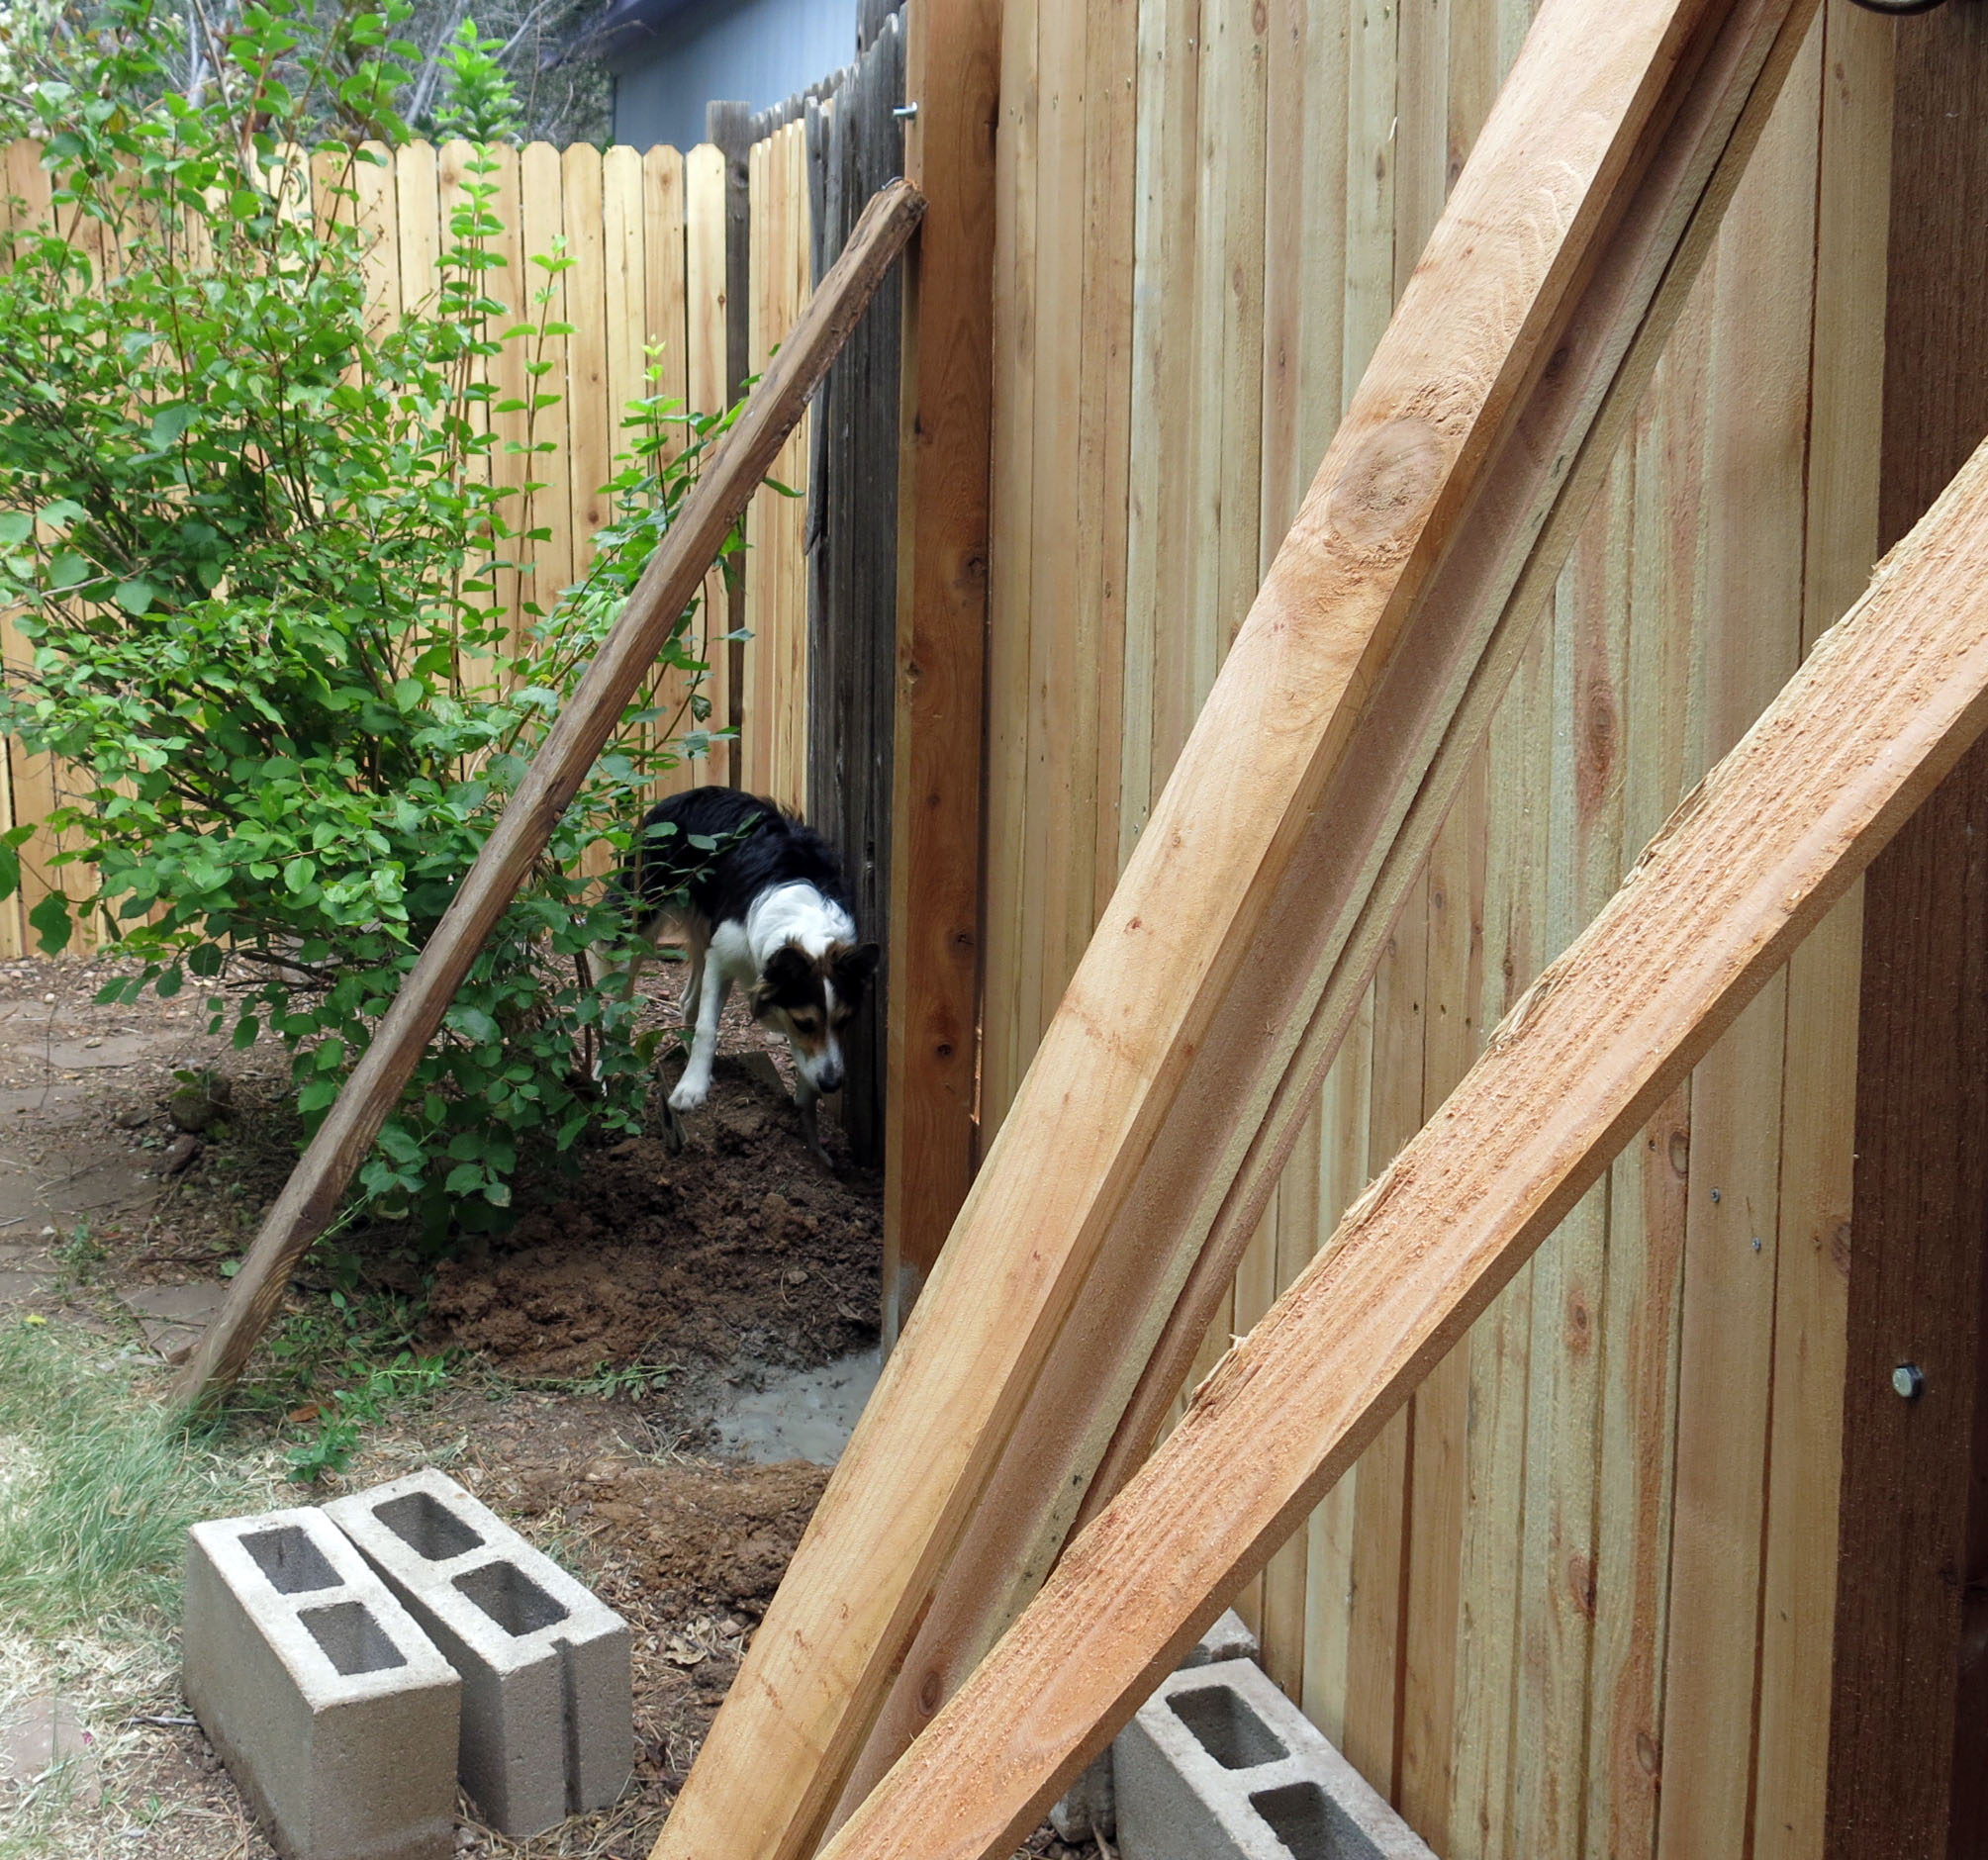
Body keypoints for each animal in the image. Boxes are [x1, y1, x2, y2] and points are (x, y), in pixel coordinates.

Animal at [588, 786, 879, 1158]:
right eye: (804, 1023)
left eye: (845, 1021)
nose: (832, 1084)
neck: (803, 926)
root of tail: (684, 794)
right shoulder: (722, 954)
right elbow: (707, 1028)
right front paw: (691, 1089)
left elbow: (807, 1067)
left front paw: (811, 1137)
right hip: (641, 918)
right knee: (617, 1005)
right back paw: (606, 1072)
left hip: (701, 927)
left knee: (686, 1002)